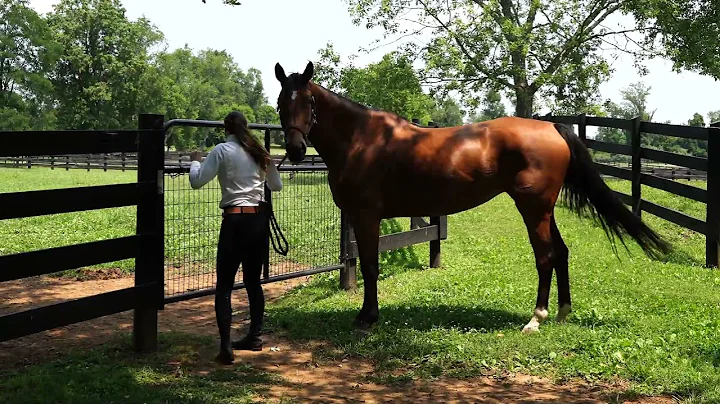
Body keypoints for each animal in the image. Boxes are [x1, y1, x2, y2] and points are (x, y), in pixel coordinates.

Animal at [272, 60, 672, 334]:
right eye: (280, 103)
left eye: (308, 102)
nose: (294, 150)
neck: (362, 140)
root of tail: (551, 127)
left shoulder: (366, 215)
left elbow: (370, 266)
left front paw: (368, 317)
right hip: (545, 210)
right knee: (561, 253)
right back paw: (561, 312)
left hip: (533, 208)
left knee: (546, 257)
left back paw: (536, 319)